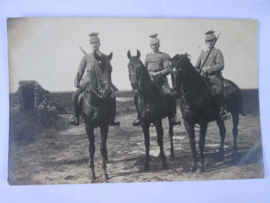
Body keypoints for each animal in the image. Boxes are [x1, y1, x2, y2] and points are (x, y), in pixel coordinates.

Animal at [80, 51, 113, 182]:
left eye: (111, 69)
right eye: (99, 69)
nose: (108, 92)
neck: (96, 102)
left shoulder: (104, 125)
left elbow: (102, 147)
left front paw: (104, 172)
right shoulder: (88, 126)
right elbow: (91, 148)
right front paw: (92, 173)